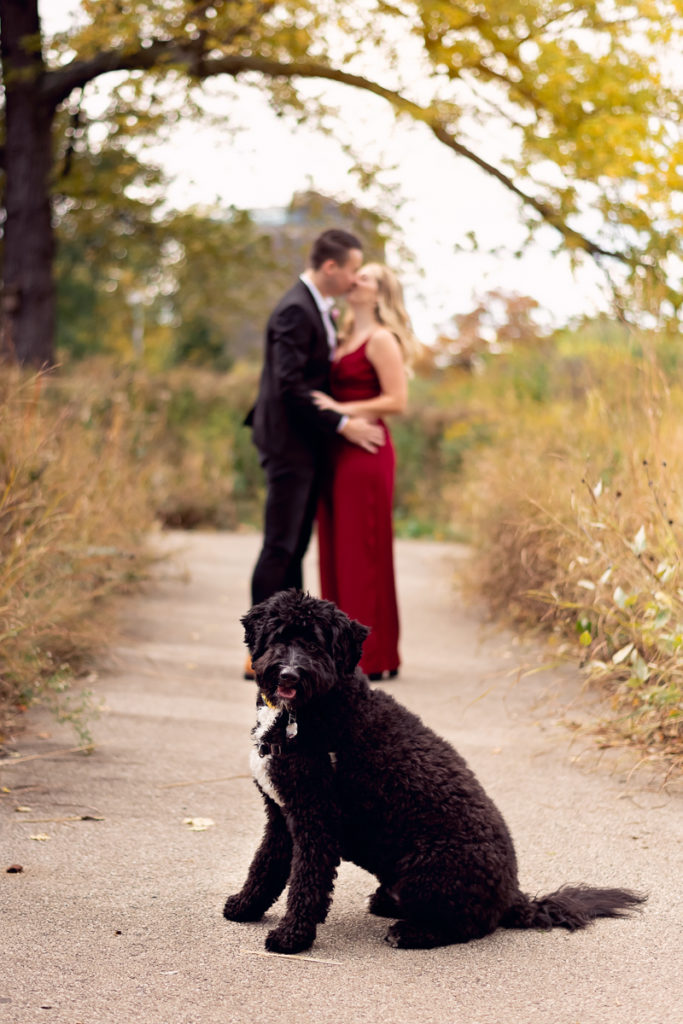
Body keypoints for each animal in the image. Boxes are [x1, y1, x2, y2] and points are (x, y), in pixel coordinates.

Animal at [225, 589, 647, 954]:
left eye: (315, 644)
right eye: (279, 637)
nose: (289, 674)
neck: (310, 712)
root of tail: (513, 896)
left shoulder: (316, 821)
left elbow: (306, 883)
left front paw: (292, 937)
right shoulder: (282, 816)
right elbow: (264, 866)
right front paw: (244, 907)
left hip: (427, 871)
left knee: (469, 926)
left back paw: (411, 932)